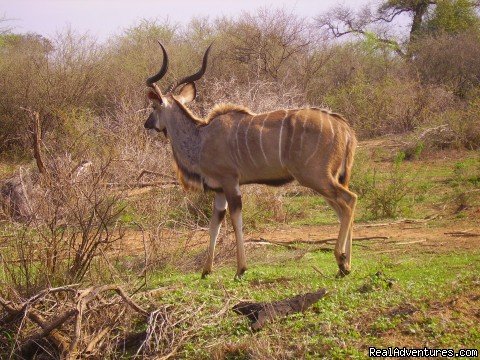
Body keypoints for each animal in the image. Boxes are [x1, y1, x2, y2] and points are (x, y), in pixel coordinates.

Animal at [144, 41, 358, 278]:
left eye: (154, 107)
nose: (147, 123)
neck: (200, 137)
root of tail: (344, 128)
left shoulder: (230, 182)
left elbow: (236, 220)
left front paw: (240, 269)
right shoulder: (219, 190)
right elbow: (214, 225)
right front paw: (206, 271)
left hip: (315, 177)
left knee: (349, 200)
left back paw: (341, 260)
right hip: (327, 179)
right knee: (342, 208)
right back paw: (346, 265)